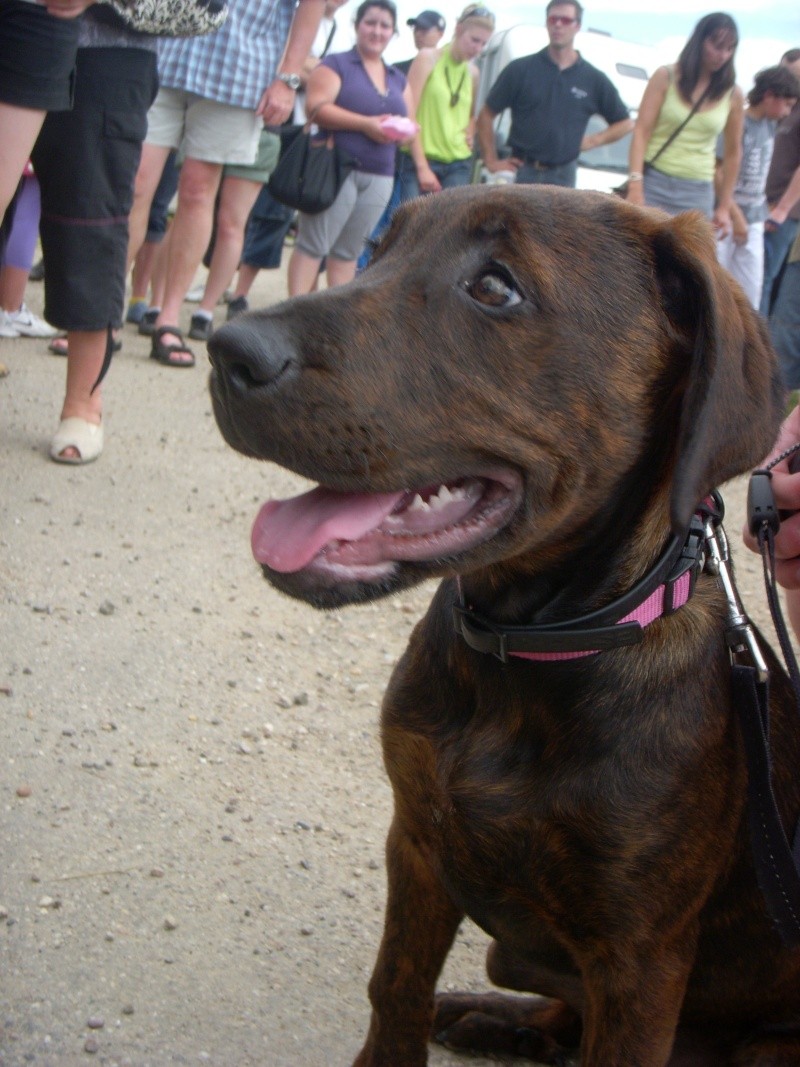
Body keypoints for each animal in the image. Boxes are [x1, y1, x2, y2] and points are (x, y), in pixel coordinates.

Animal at [208, 187, 800, 1067]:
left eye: (495, 288)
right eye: (379, 248)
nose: (226, 351)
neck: (521, 657)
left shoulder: (642, 957)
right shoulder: (416, 843)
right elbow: (395, 990)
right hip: (512, 951)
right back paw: (495, 1017)